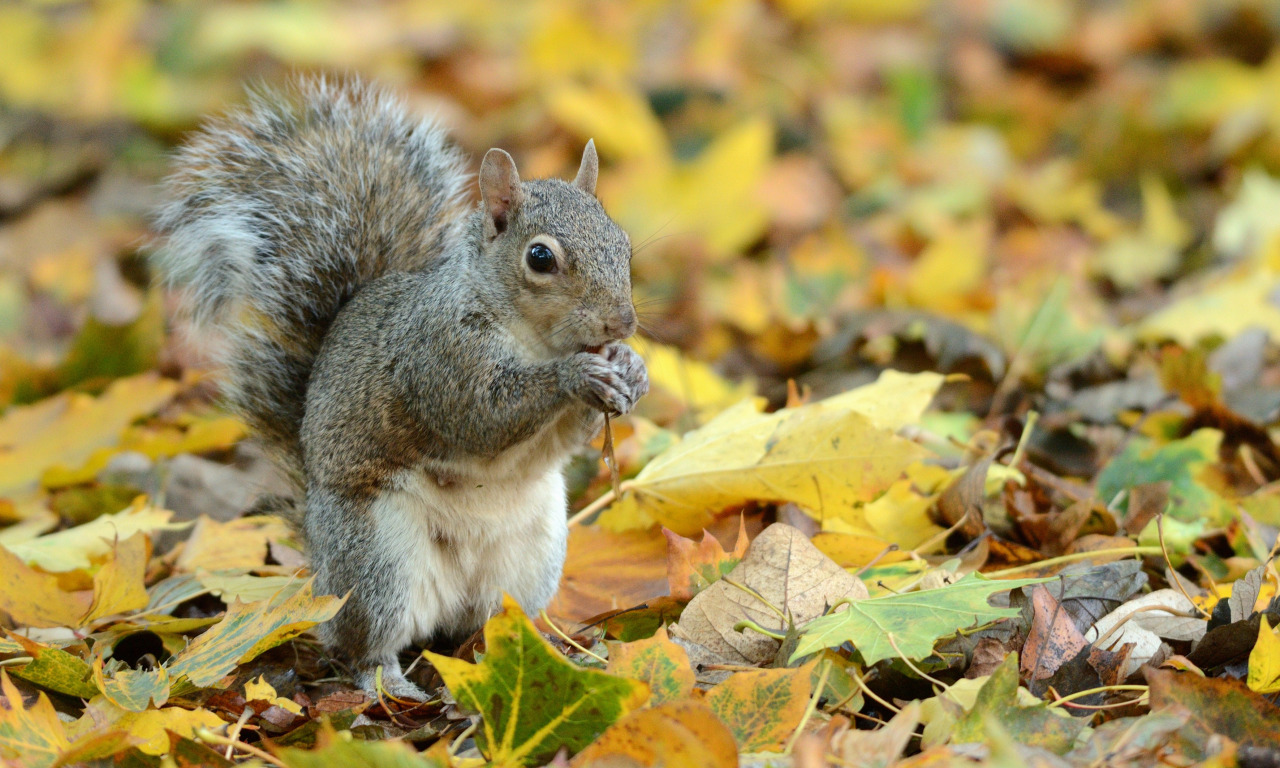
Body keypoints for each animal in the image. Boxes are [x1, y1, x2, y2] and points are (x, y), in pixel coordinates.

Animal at [150, 77, 648, 698]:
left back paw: (543, 651)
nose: (622, 323)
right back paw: (390, 683)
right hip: (379, 558)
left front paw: (631, 370)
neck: (534, 338)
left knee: (493, 624)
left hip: (533, 557)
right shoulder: (436, 358)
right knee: (364, 643)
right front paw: (577, 376)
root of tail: (319, 557)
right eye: (540, 257)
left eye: (622, 242)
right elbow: (483, 415)